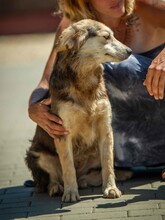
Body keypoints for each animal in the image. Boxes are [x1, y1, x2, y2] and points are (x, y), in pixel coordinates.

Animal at [25, 19, 131, 203]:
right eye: (106, 36)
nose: (130, 51)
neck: (85, 79)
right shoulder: (62, 132)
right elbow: (68, 167)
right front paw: (70, 192)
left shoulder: (105, 129)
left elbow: (107, 164)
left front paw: (111, 188)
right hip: (36, 153)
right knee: (53, 178)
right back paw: (57, 187)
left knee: (86, 176)